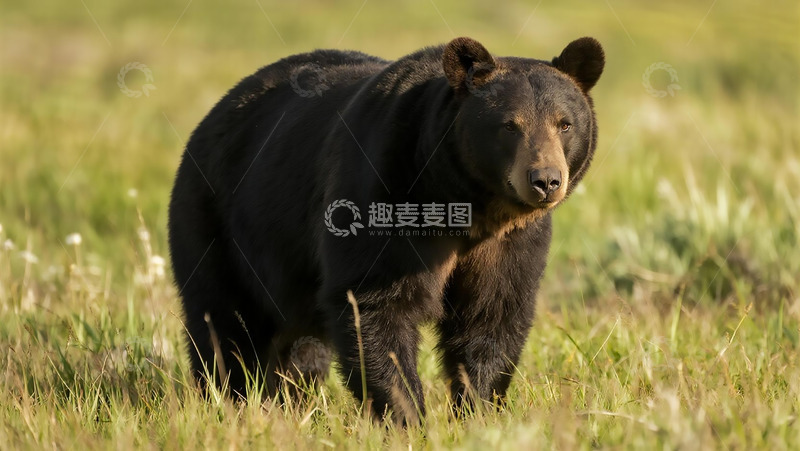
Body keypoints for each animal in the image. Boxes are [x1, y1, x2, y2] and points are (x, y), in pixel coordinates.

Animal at [168, 36, 604, 423]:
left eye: (564, 124)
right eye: (509, 125)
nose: (545, 180)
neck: (465, 204)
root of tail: (218, 109)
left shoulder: (508, 243)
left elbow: (492, 316)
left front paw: (476, 412)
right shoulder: (382, 192)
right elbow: (377, 306)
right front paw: (407, 415)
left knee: (300, 348)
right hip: (221, 223)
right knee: (223, 322)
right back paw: (229, 400)